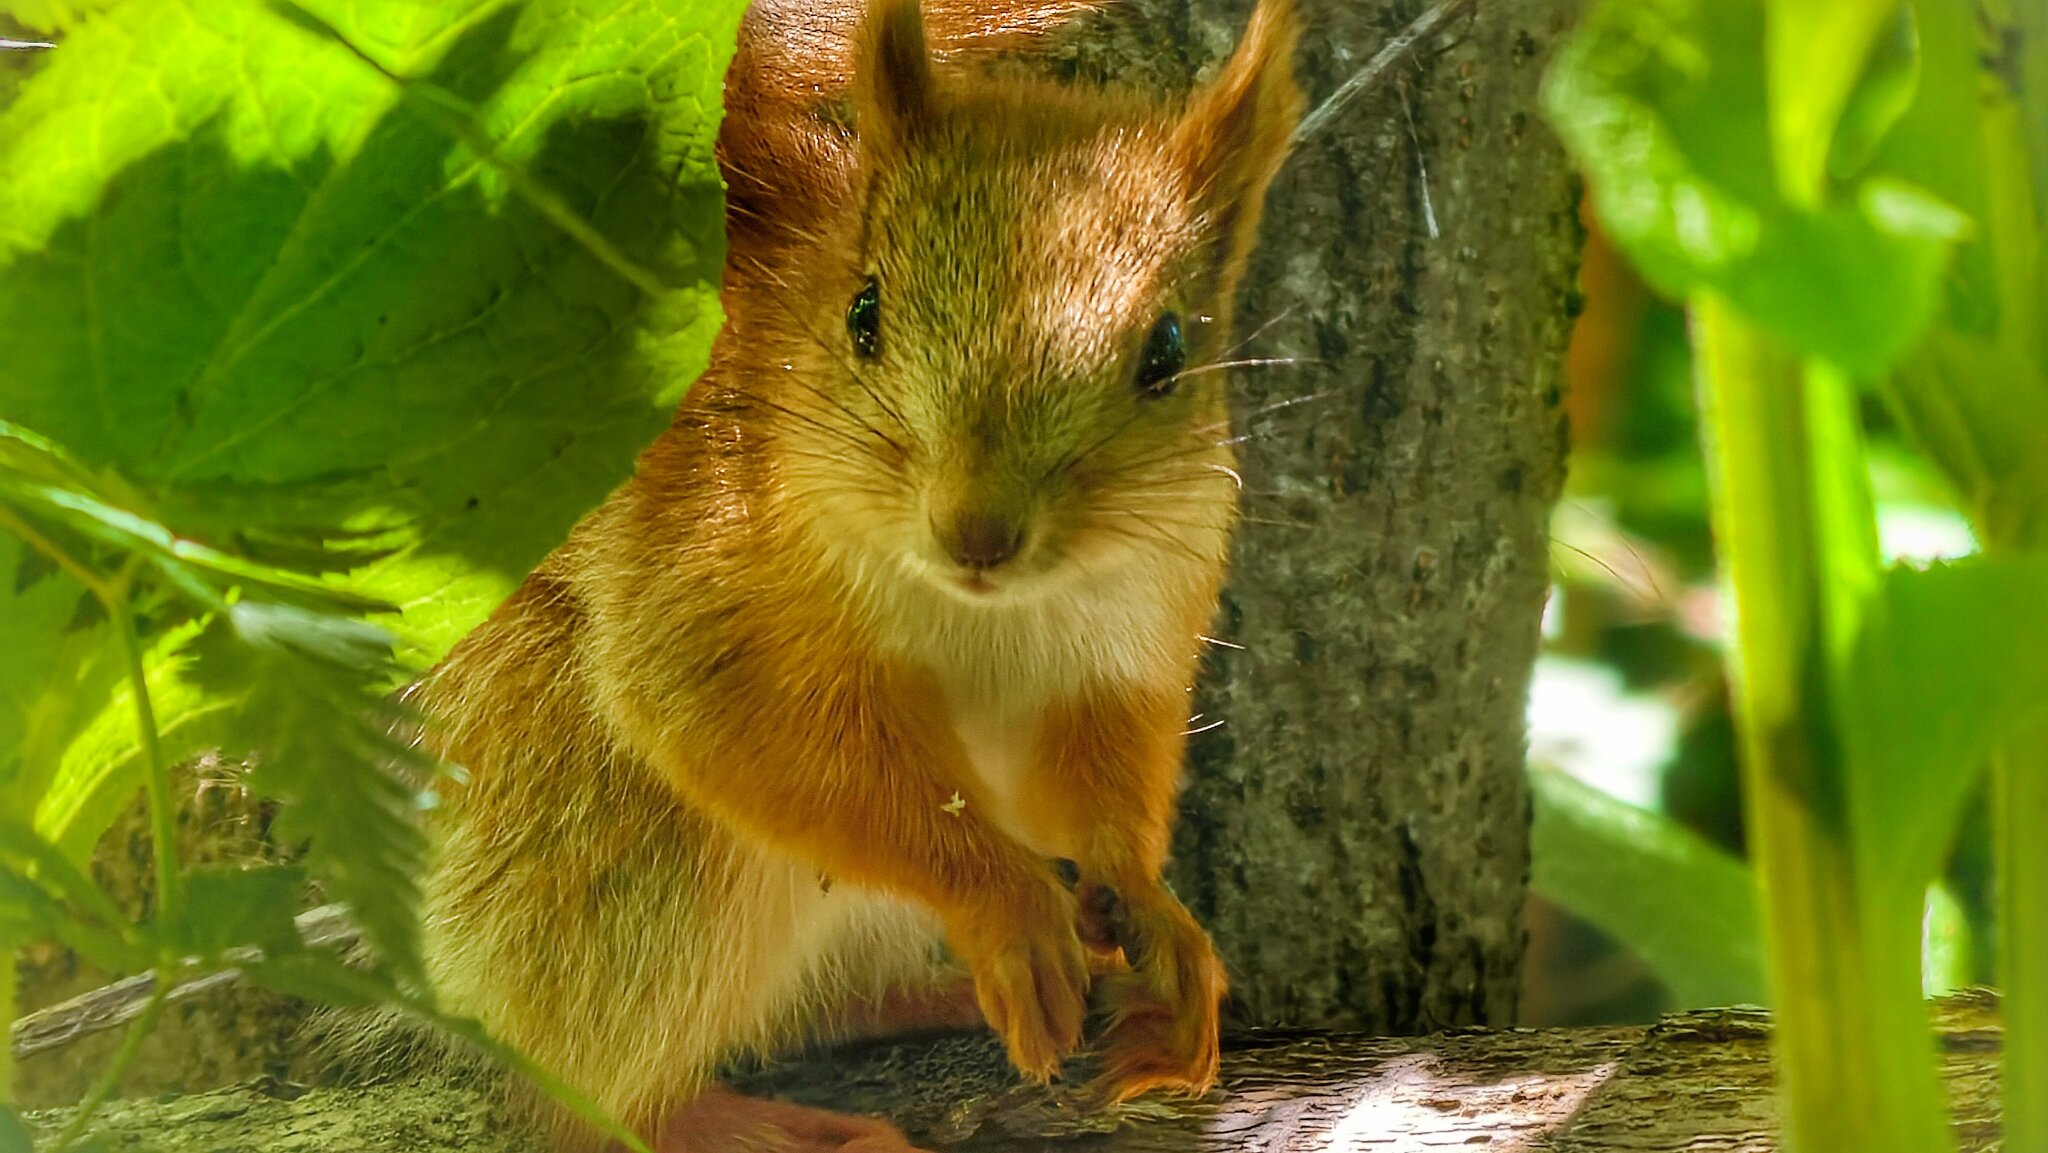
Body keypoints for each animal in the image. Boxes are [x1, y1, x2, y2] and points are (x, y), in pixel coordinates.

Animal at [410, 0, 1300, 1148]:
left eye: (1168, 353)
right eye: (863, 315)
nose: (976, 532)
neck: (981, 611)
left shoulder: (1127, 633)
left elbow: (1100, 782)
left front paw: (1152, 917)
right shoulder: (703, 591)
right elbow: (781, 754)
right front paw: (1007, 902)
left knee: (823, 1006)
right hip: (618, 850)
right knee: (581, 1096)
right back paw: (736, 1122)